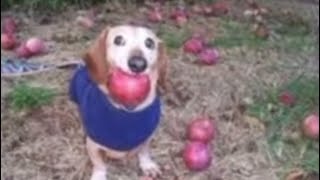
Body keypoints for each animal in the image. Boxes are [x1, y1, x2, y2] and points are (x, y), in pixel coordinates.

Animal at [69, 24, 169, 180]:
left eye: (149, 43)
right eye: (118, 40)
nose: (138, 64)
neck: (127, 110)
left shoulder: (146, 138)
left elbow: (144, 151)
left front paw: (147, 165)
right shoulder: (92, 145)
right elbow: (99, 164)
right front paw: (99, 175)